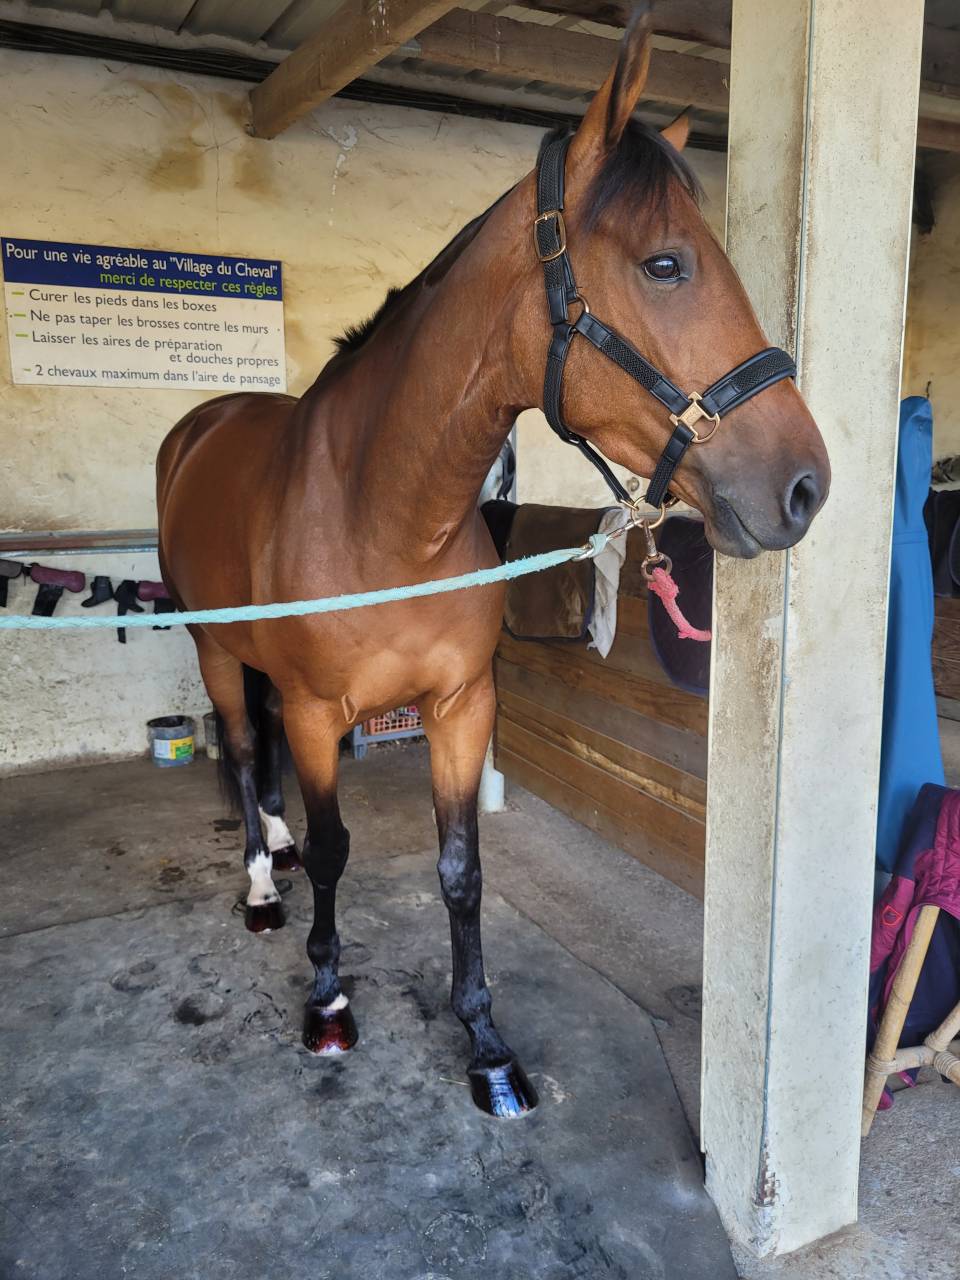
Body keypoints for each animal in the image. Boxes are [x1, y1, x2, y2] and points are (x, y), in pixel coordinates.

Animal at [156, 8, 830, 1118]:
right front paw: (329, 996)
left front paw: (485, 1042)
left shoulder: (464, 703)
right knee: (247, 751)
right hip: (217, 649)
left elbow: (461, 868)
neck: (385, 519)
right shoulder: (319, 712)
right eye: (665, 265)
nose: (806, 487)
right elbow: (338, 847)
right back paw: (260, 884)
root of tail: (204, 422)